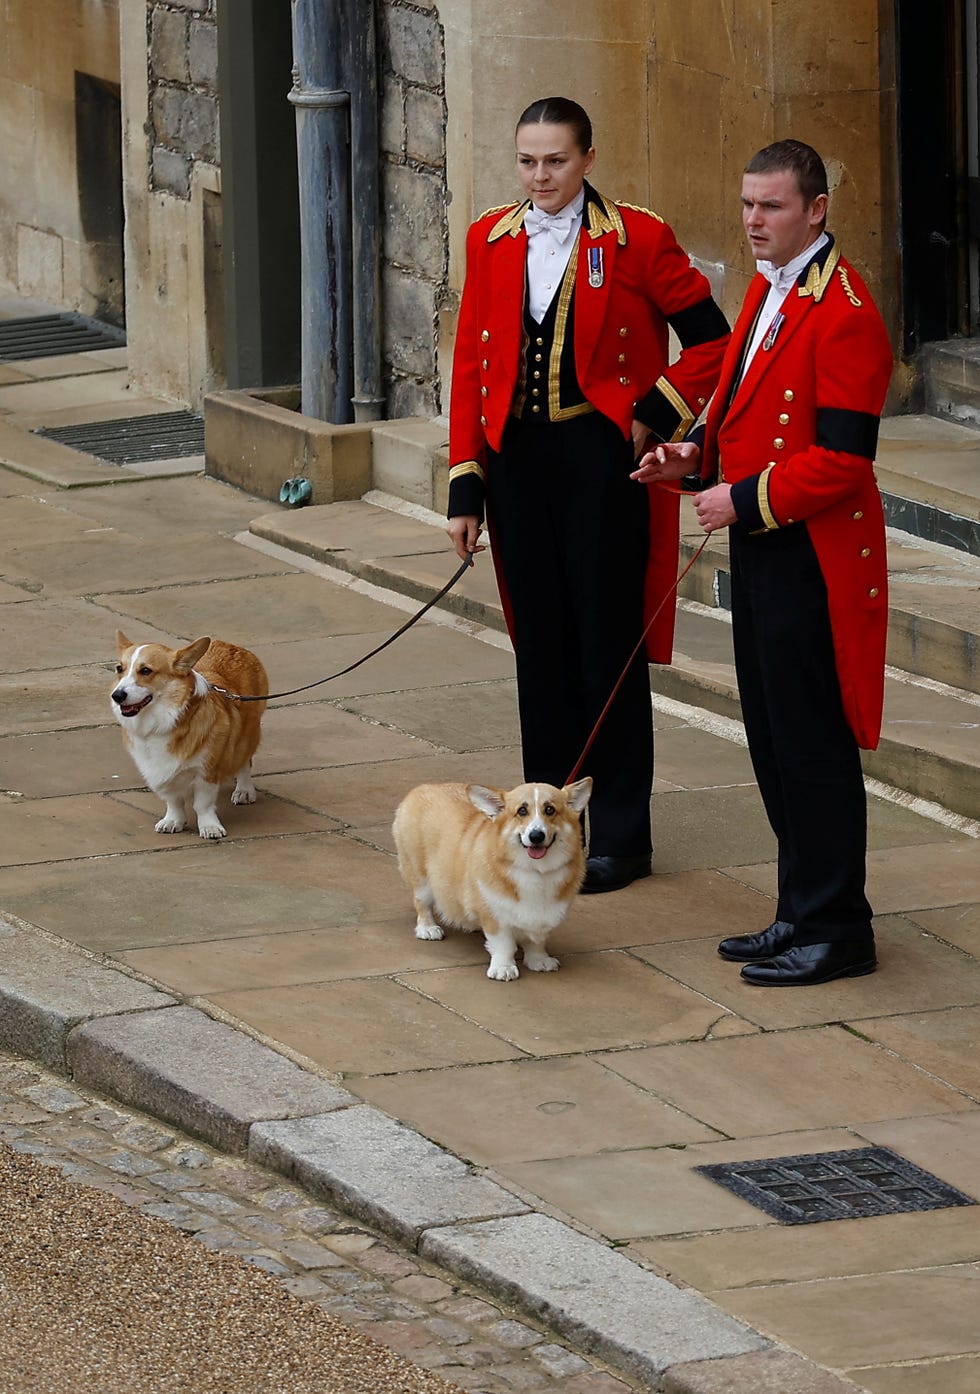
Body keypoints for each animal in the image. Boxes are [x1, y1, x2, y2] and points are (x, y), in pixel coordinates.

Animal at [111, 632, 267, 836]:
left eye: (145, 670)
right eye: (119, 669)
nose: (117, 695)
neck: (164, 721)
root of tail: (232, 646)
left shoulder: (206, 771)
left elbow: (202, 804)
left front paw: (209, 827)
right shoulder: (160, 772)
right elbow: (174, 801)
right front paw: (172, 821)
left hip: (246, 737)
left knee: (244, 762)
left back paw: (244, 791)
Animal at [390, 780, 591, 986]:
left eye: (550, 809)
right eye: (522, 811)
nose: (536, 836)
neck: (536, 871)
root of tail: (422, 788)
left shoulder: (543, 916)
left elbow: (536, 941)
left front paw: (539, 960)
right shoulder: (494, 915)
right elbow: (504, 945)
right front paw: (503, 968)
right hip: (420, 877)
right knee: (422, 903)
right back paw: (428, 928)